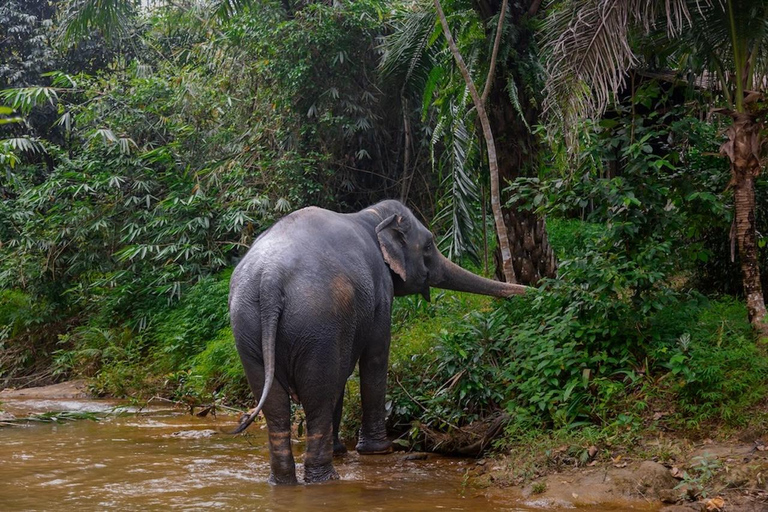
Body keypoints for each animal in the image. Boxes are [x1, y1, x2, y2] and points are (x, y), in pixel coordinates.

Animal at [228, 199, 528, 484]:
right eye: (429, 245)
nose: (530, 290)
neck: (370, 215)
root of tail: (271, 280)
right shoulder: (381, 291)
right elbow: (375, 355)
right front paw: (380, 450)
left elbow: (343, 375)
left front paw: (344, 450)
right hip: (315, 323)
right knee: (318, 394)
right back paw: (326, 479)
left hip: (248, 329)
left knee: (276, 405)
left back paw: (283, 481)